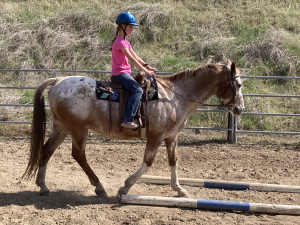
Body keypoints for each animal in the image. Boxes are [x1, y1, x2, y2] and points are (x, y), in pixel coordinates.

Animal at [22, 59, 244, 198]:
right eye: (239, 85)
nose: (240, 108)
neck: (174, 96)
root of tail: (58, 80)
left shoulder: (171, 137)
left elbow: (173, 161)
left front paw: (179, 189)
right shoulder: (156, 136)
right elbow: (148, 162)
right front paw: (125, 187)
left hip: (62, 127)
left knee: (47, 150)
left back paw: (43, 186)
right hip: (78, 129)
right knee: (78, 155)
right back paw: (99, 187)